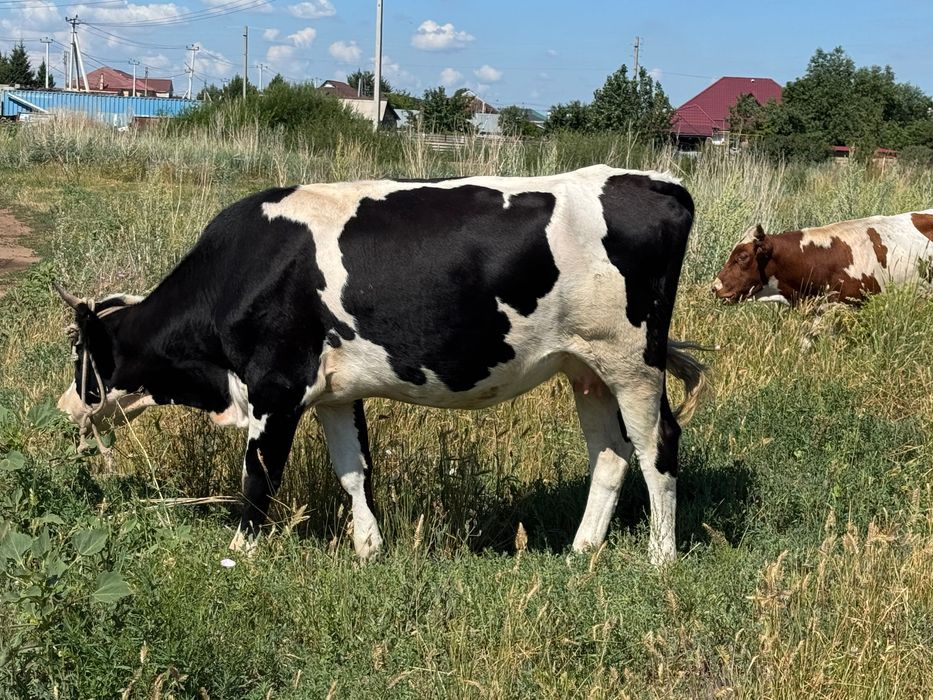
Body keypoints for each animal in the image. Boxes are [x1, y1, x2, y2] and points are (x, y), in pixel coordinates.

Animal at [55, 165, 703, 565]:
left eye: (80, 354)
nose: (63, 410)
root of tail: (658, 182)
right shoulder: (335, 391)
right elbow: (354, 470)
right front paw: (369, 549)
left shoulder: (275, 386)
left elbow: (258, 475)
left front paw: (240, 553)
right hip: (585, 367)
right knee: (610, 454)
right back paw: (582, 550)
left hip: (633, 362)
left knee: (658, 445)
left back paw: (660, 557)